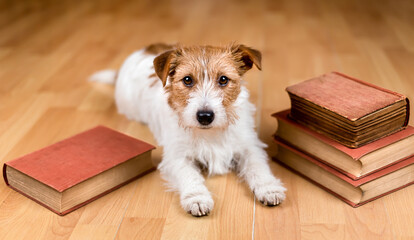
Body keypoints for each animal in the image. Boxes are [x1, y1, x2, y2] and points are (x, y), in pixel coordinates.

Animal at [90, 43, 284, 218]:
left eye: (223, 79)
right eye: (187, 80)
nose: (205, 116)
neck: (210, 132)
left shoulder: (249, 146)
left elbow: (257, 166)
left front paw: (269, 187)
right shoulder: (177, 156)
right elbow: (189, 174)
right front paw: (197, 198)